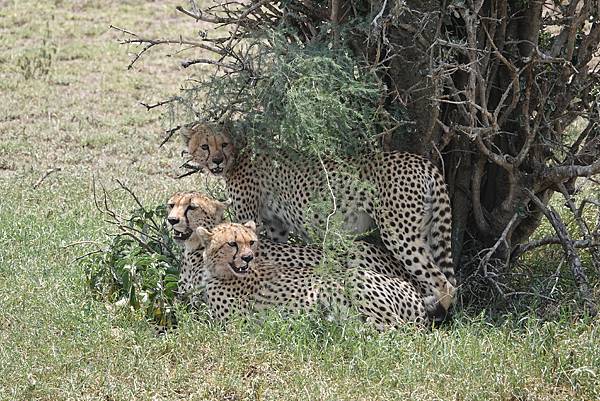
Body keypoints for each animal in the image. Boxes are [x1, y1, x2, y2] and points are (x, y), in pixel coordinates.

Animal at [180, 122, 458, 312]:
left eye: (224, 144)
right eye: (205, 146)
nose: (217, 161)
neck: (240, 154)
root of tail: (421, 161)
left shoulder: (250, 216)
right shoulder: (277, 226)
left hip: (399, 233)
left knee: (442, 282)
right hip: (422, 229)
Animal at [196, 220, 426, 330]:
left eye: (251, 242)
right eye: (232, 244)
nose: (247, 258)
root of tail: (411, 287)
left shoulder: (238, 324)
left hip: (355, 277)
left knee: (397, 331)